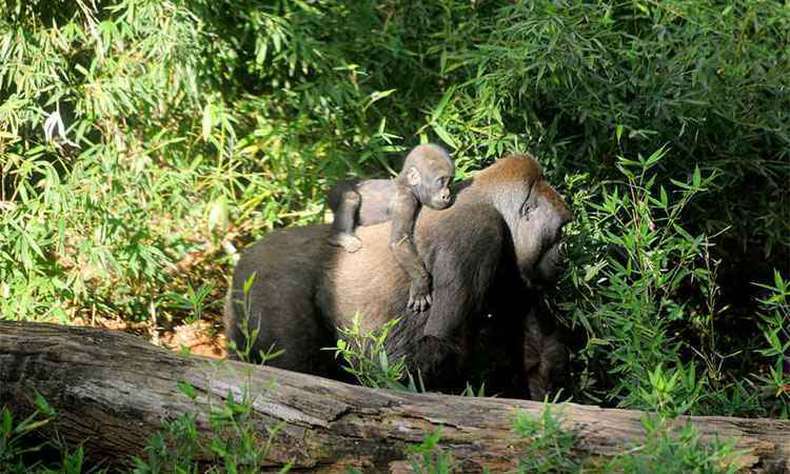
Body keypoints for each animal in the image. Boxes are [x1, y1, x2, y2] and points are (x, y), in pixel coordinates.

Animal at [324, 145, 454, 314]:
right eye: (441, 181)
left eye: (450, 181)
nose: (447, 195)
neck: (406, 184)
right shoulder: (405, 200)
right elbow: (399, 241)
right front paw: (421, 283)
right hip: (336, 192)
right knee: (351, 196)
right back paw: (339, 236)